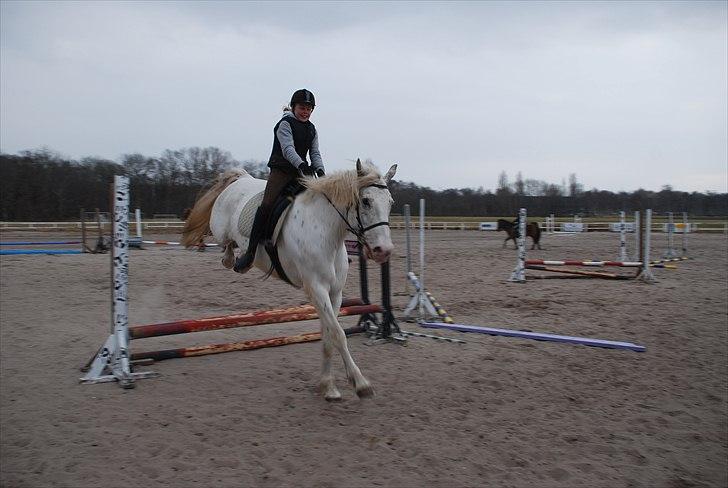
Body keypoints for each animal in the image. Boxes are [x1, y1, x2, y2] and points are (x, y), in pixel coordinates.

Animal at [182, 160, 398, 400]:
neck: (326, 232)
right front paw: (360, 383)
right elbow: (338, 334)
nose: (384, 251)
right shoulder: (316, 289)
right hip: (221, 229)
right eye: (366, 201)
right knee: (226, 245)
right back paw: (236, 260)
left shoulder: (334, 294)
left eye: (390, 203)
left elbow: (328, 337)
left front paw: (328, 386)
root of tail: (241, 178)